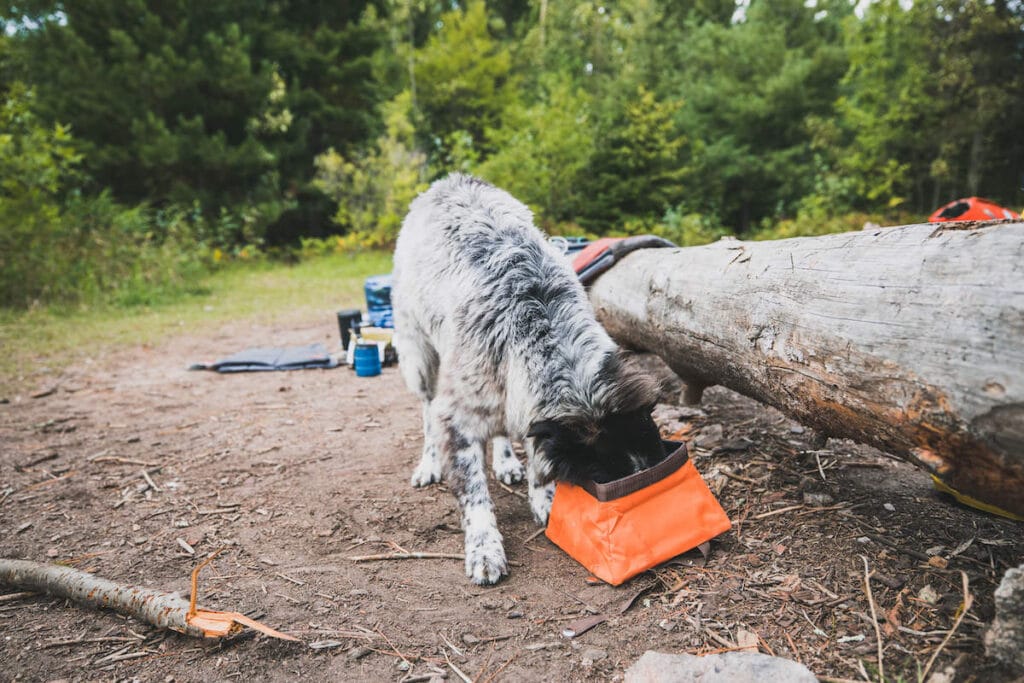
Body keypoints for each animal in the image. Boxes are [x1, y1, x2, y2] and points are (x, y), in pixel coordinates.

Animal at [391, 174, 663, 585]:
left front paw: (545, 500)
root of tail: (449, 180)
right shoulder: (457, 414)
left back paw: (505, 461)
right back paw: (429, 463)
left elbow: (537, 456)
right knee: (425, 410)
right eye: (606, 475)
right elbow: (475, 495)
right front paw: (485, 549)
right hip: (420, 355)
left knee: (501, 427)